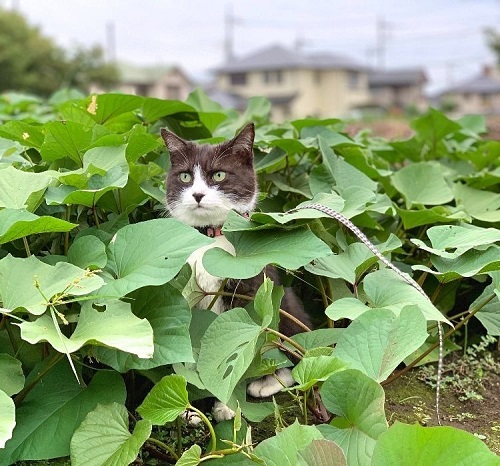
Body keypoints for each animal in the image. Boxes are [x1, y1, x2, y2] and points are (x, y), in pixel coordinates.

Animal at [160, 124, 310, 422]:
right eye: (185, 176)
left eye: (218, 175)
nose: (197, 195)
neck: (210, 241)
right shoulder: (183, 294)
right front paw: (188, 408)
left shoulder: (248, 289)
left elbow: (237, 344)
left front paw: (227, 405)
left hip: (283, 305)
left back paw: (268, 381)